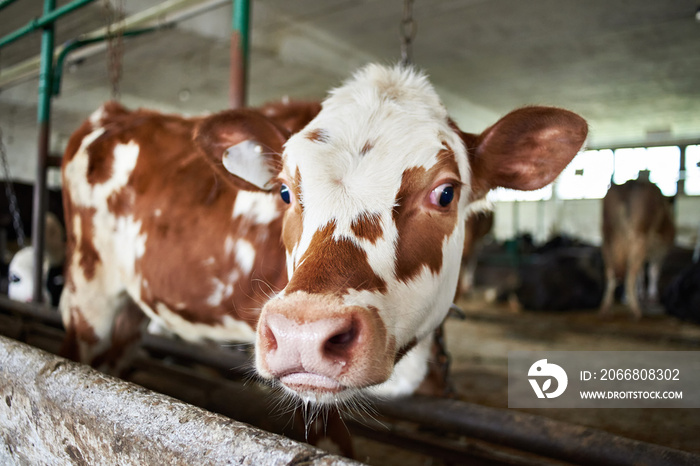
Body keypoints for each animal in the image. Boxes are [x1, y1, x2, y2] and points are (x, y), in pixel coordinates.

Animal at [600, 177, 676, 318]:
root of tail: (629, 183)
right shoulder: (662, 249)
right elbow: (653, 271)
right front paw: (652, 297)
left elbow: (642, 273)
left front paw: (642, 294)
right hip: (639, 238)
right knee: (630, 273)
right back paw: (635, 309)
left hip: (607, 237)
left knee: (611, 271)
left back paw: (606, 307)